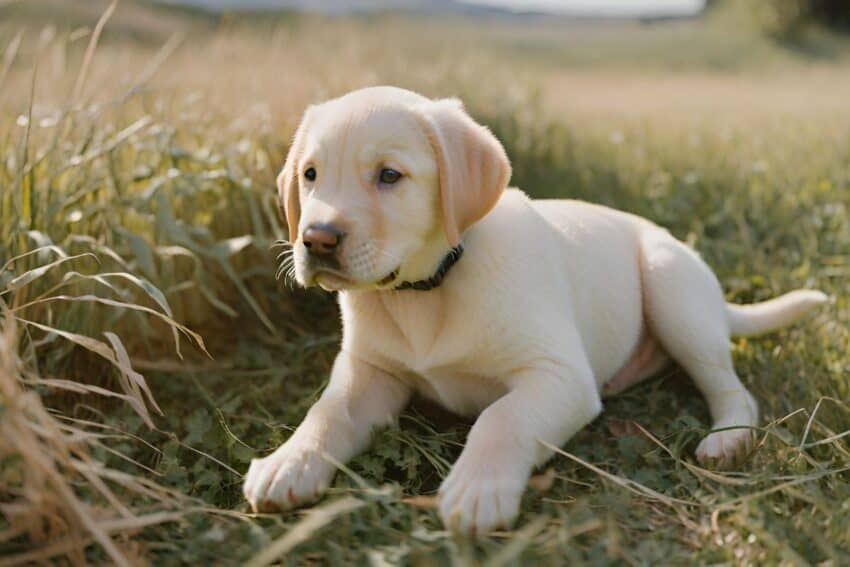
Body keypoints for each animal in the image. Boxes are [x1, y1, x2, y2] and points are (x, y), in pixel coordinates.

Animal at [242, 86, 824, 536]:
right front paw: (289, 461)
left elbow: (502, 418)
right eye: (311, 174)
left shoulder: (559, 376)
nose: (316, 240)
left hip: (672, 289)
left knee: (731, 388)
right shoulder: (370, 372)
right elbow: (328, 410)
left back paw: (727, 439)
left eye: (389, 176)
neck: (428, 289)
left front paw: (477, 488)